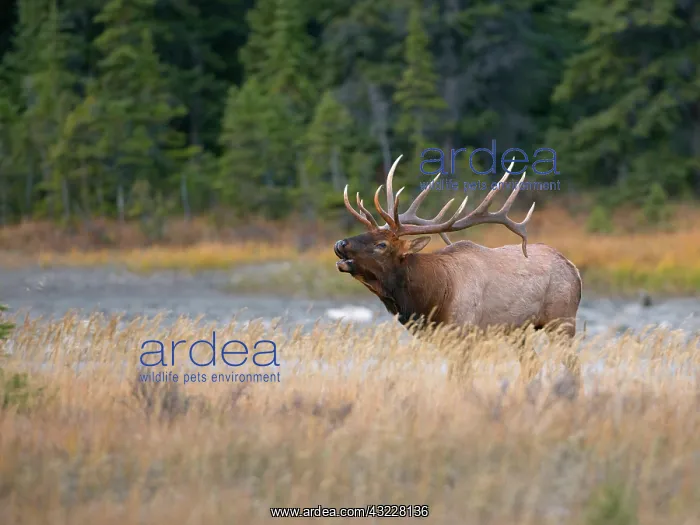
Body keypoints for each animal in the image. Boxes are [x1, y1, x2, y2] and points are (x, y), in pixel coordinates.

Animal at [334, 154, 582, 385]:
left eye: (382, 244)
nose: (340, 243)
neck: (431, 298)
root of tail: (575, 270)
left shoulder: (464, 334)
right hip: (519, 331)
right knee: (532, 363)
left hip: (562, 320)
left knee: (572, 364)